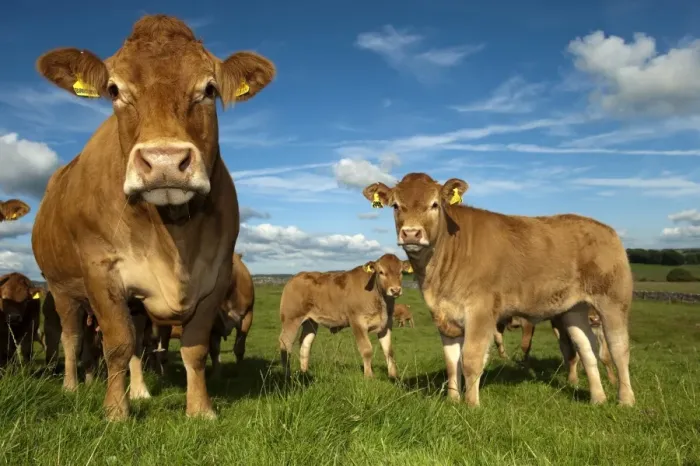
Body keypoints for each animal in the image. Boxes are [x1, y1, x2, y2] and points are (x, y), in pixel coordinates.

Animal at [31, 14, 275, 420]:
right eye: (114, 90)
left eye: (209, 89)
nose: (164, 162)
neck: (174, 236)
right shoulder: (101, 271)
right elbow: (116, 344)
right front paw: (116, 412)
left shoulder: (215, 274)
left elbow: (193, 349)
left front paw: (200, 409)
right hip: (61, 288)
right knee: (72, 336)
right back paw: (71, 385)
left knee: (138, 343)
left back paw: (141, 390)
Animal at [278, 254, 411, 379]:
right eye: (381, 272)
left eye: (400, 272)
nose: (395, 290)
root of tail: (296, 277)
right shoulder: (358, 322)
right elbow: (367, 350)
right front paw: (369, 376)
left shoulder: (386, 324)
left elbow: (389, 351)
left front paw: (394, 376)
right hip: (291, 319)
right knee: (285, 343)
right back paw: (287, 375)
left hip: (310, 322)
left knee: (305, 344)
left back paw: (304, 373)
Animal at [362, 172, 635, 407]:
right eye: (396, 206)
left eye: (434, 204)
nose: (411, 233)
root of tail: (606, 229)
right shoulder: (444, 316)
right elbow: (452, 362)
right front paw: (453, 400)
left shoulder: (481, 311)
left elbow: (471, 359)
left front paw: (471, 405)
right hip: (573, 309)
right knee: (587, 349)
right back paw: (598, 398)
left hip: (613, 300)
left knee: (618, 348)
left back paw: (626, 400)